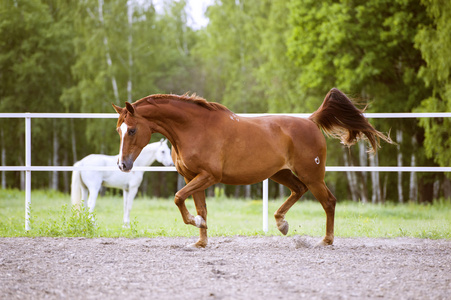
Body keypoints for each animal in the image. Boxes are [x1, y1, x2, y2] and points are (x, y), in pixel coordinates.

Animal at [113, 88, 392, 247]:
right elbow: (199, 206)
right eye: (119, 130)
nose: (123, 164)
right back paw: (282, 224)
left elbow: (178, 198)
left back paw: (326, 240)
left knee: (329, 202)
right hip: (281, 173)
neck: (193, 128)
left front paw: (196, 223)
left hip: (312, 174)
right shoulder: (193, 177)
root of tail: (311, 121)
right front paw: (201, 240)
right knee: (299, 190)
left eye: (133, 129)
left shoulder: (208, 176)